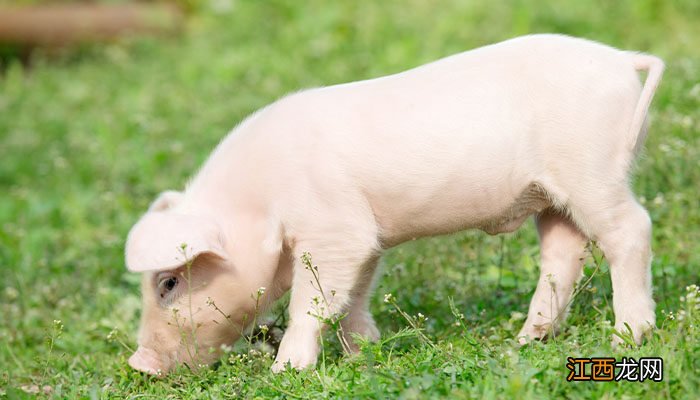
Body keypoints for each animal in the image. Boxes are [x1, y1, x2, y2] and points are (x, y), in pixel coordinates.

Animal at [123, 34, 664, 376]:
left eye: (168, 282)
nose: (139, 365)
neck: (259, 202)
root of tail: (621, 60)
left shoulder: (336, 229)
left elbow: (312, 302)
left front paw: (286, 371)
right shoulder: (367, 240)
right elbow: (352, 298)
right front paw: (366, 353)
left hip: (592, 171)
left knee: (631, 229)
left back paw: (627, 338)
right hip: (553, 196)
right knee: (563, 252)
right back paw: (527, 340)